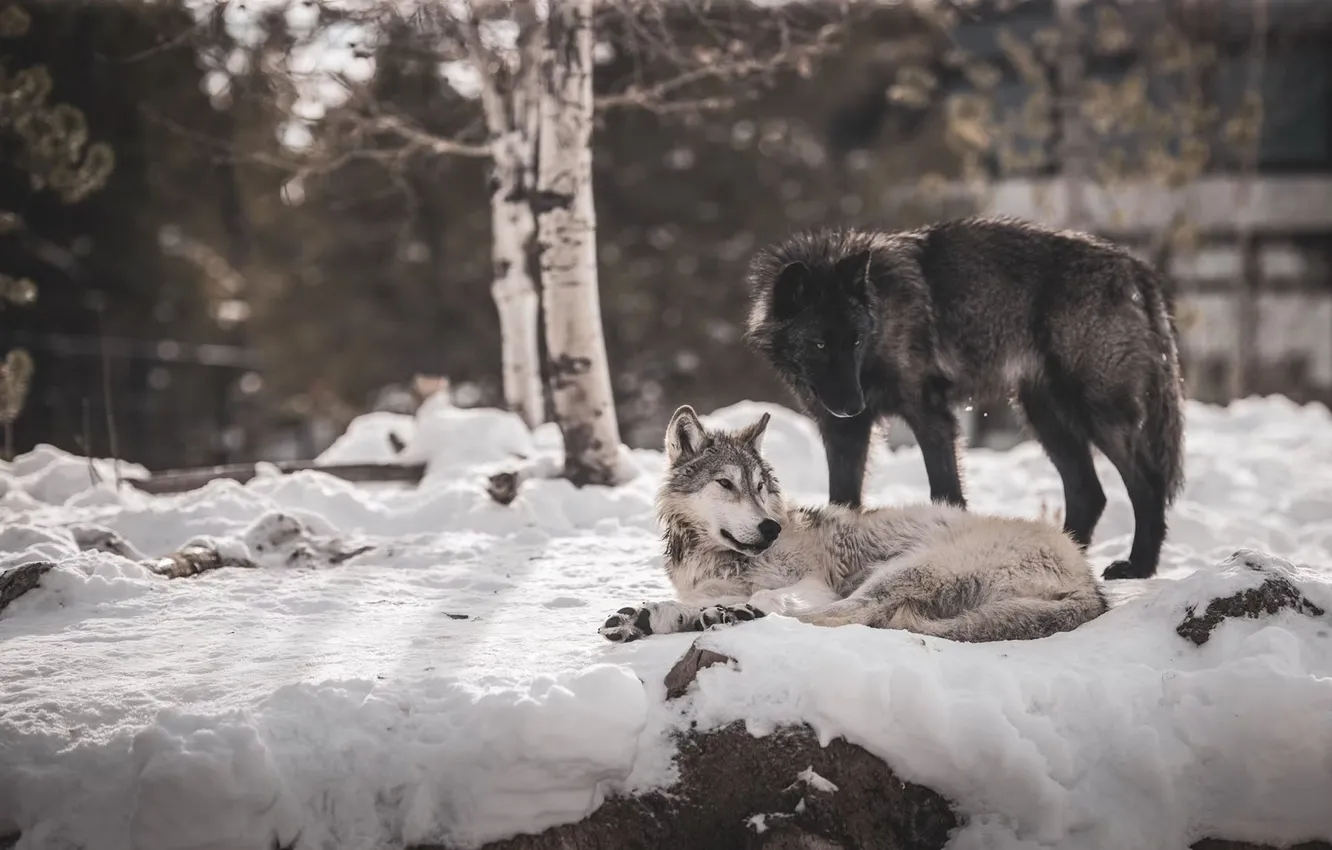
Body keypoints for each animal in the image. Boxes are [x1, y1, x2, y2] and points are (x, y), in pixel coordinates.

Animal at [598, 405, 1107, 644]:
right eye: (726, 483)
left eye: (760, 486)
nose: (770, 529)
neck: (717, 559)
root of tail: (1091, 583)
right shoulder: (708, 586)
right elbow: (702, 600)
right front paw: (658, 613)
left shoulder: (813, 584)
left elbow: (777, 597)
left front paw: (730, 610)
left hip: (903, 570)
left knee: (852, 615)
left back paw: (733, 617)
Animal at [742, 215, 1186, 580]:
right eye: (818, 344)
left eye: (854, 341)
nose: (854, 406)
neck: (882, 316)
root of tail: (1135, 267)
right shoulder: (842, 432)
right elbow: (843, 500)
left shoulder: (930, 416)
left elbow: (946, 492)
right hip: (1045, 416)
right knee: (1088, 492)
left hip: (1096, 412)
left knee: (1147, 483)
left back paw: (1139, 566)